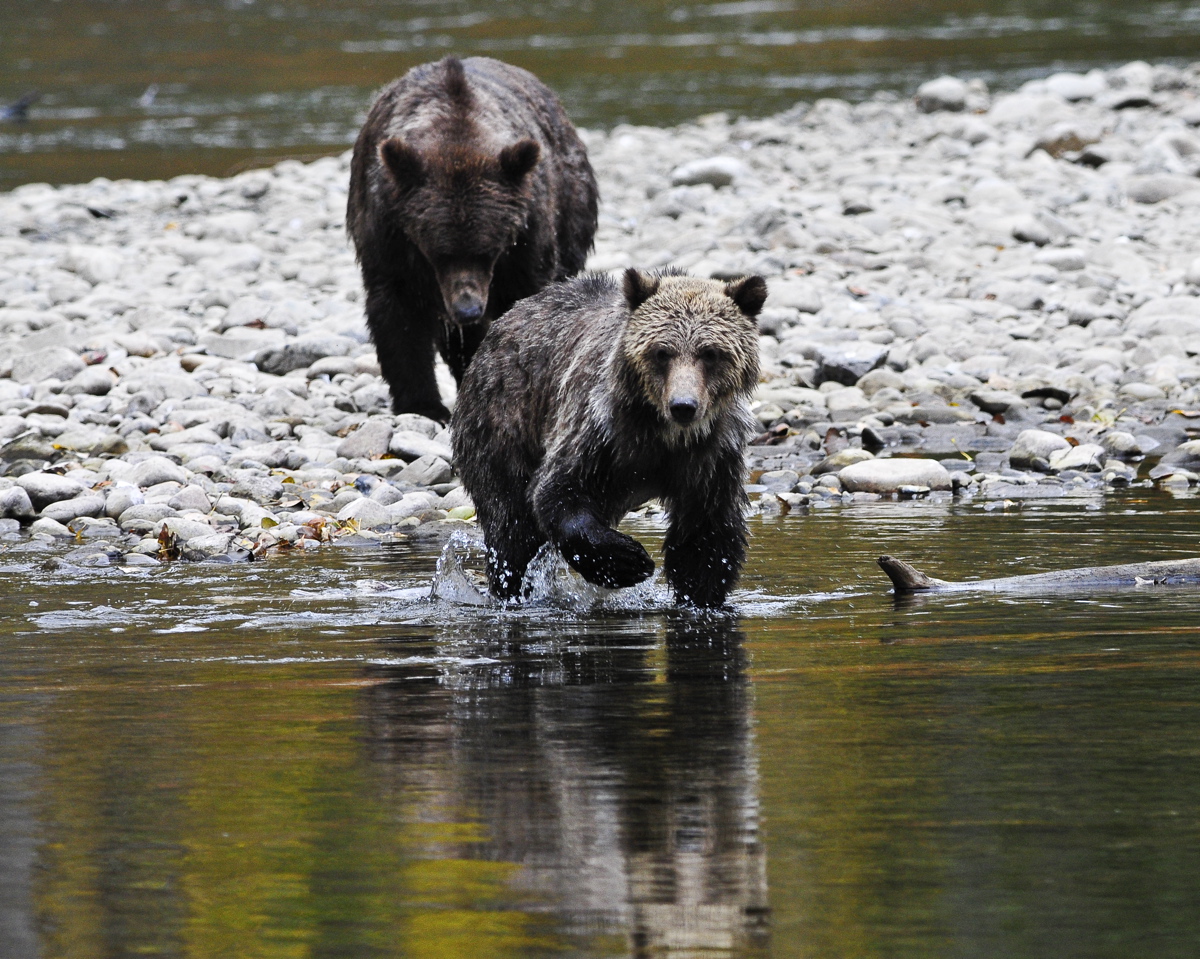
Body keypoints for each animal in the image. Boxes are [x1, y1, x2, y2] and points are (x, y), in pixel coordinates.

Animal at [346, 56, 599, 423]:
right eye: (438, 253)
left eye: (489, 251)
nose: (468, 308)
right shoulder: (389, 233)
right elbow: (398, 315)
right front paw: (422, 404)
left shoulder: (526, 237)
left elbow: (525, 299)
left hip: (572, 205)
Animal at [451, 268, 767, 608]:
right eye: (662, 352)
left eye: (710, 353)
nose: (683, 406)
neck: (664, 433)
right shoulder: (600, 430)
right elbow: (558, 491)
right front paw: (629, 560)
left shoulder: (711, 455)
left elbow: (705, 535)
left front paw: (700, 596)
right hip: (504, 421)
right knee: (511, 527)